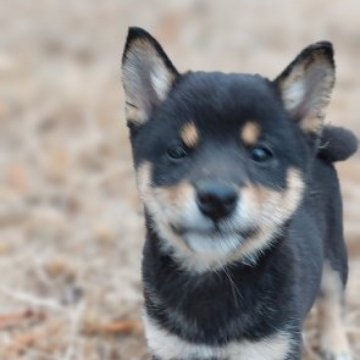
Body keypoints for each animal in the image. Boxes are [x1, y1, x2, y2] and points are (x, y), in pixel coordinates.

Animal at [121, 26, 358, 358]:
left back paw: (335, 344)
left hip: (335, 255)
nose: (217, 200)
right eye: (177, 151)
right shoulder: (167, 345)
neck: (214, 280)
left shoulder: (274, 346)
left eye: (260, 153)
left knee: (333, 300)